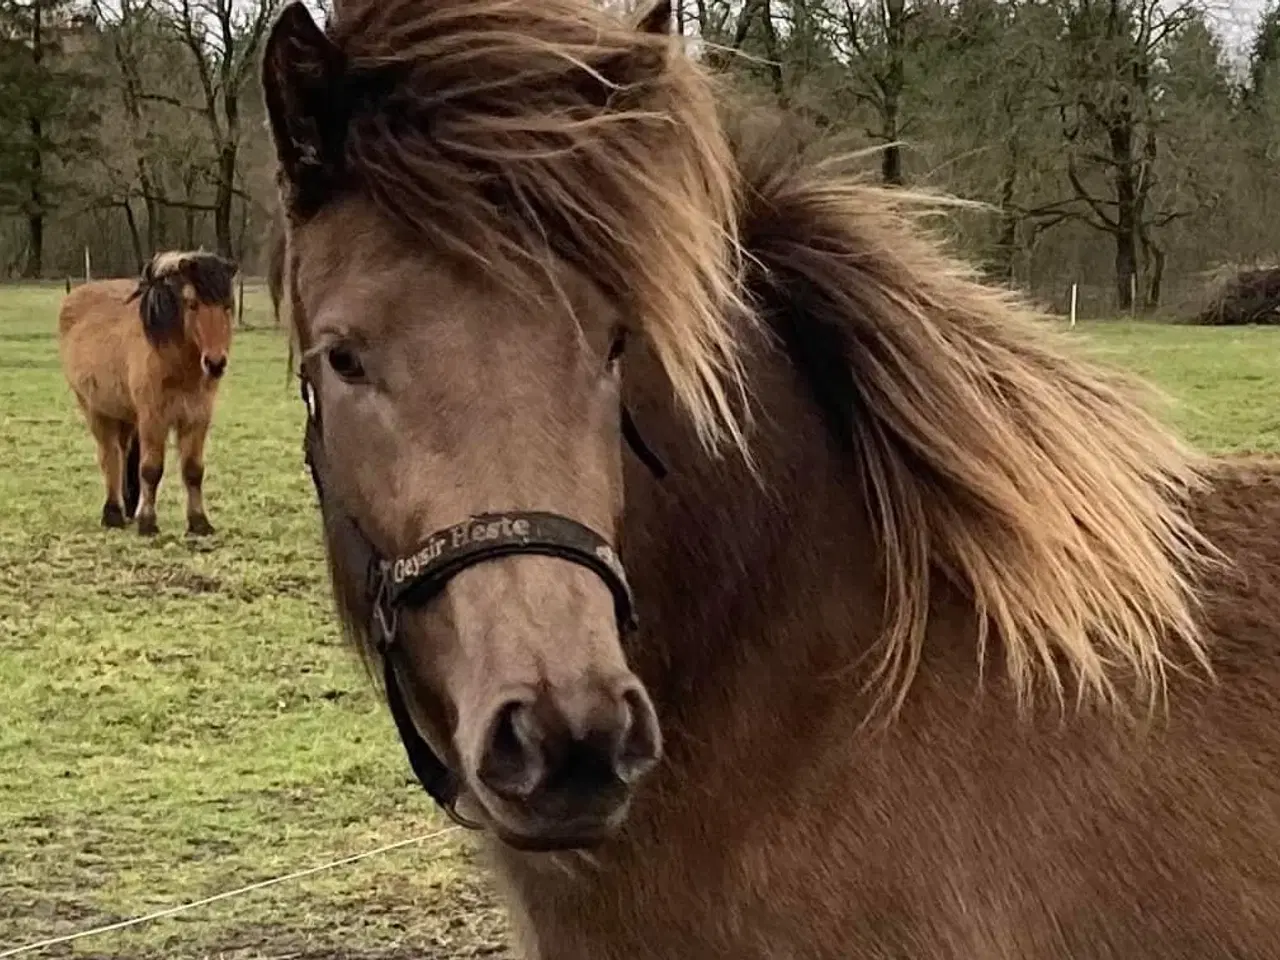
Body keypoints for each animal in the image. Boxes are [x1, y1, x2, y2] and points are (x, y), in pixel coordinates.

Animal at [57, 253, 239, 542]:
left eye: (227, 306)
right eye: (192, 304)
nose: (215, 363)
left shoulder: (196, 418)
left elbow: (193, 471)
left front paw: (199, 523)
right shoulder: (154, 418)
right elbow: (151, 470)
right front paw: (148, 523)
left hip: (124, 416)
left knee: (121, 454)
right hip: (95, 410)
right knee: (110, 457)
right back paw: (113, 513)